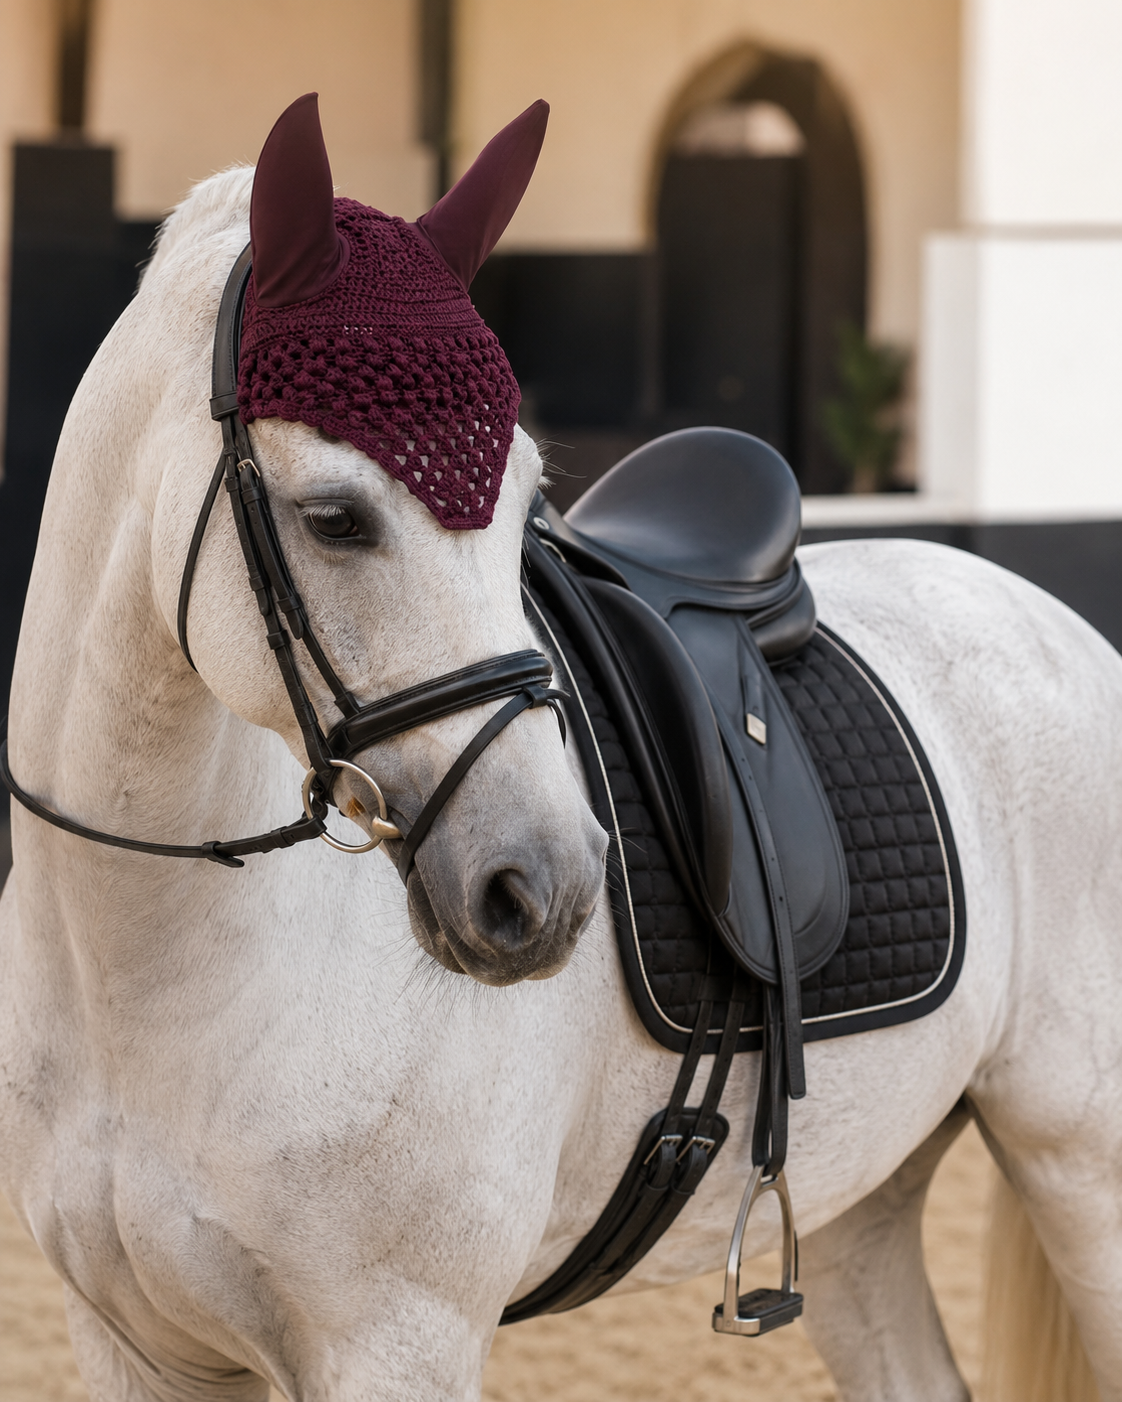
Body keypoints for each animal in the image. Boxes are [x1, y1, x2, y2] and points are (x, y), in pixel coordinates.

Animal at [2, 139, 1120, 1402]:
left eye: (524, 505)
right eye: (335, 517)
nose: (545, 884)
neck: (144, 966)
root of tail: (1049, 619)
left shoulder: (401, 1340)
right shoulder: (133, 1344)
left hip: (1082, 1166)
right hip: (862, 1197)